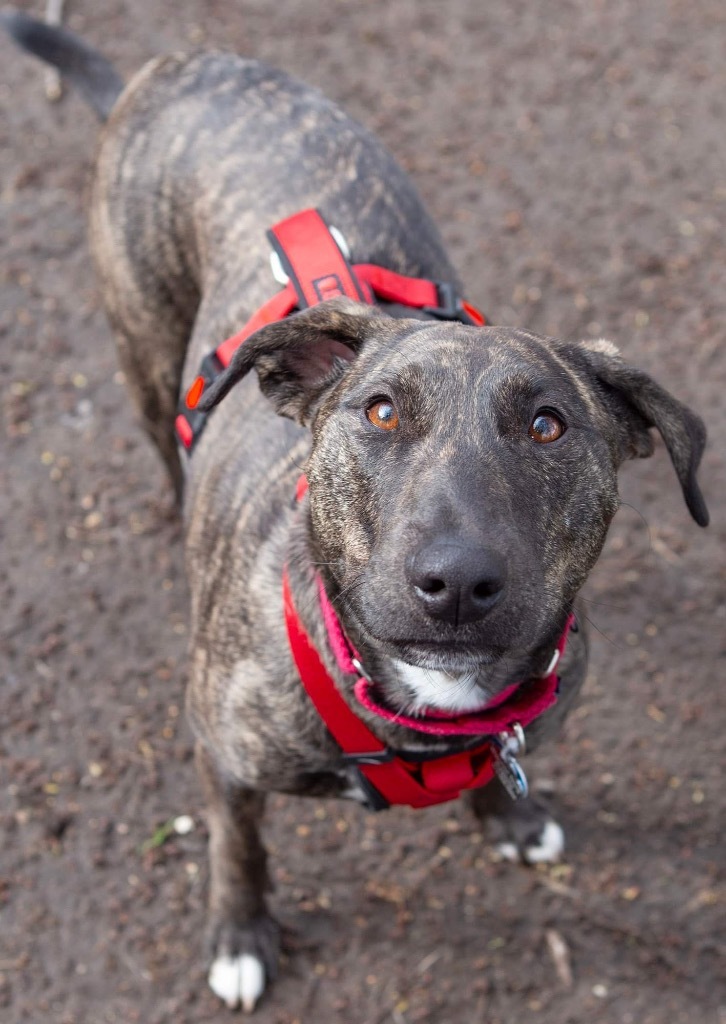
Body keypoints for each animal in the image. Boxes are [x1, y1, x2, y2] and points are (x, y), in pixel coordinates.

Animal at [2, 9, 708, 1015]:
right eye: (379, 412)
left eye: (548, 424)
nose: (457, 581)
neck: (427, 708)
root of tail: (177, 64)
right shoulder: (222, 755)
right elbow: (239, 846)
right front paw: (241, 936)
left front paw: (510, 813)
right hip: (143, 354)